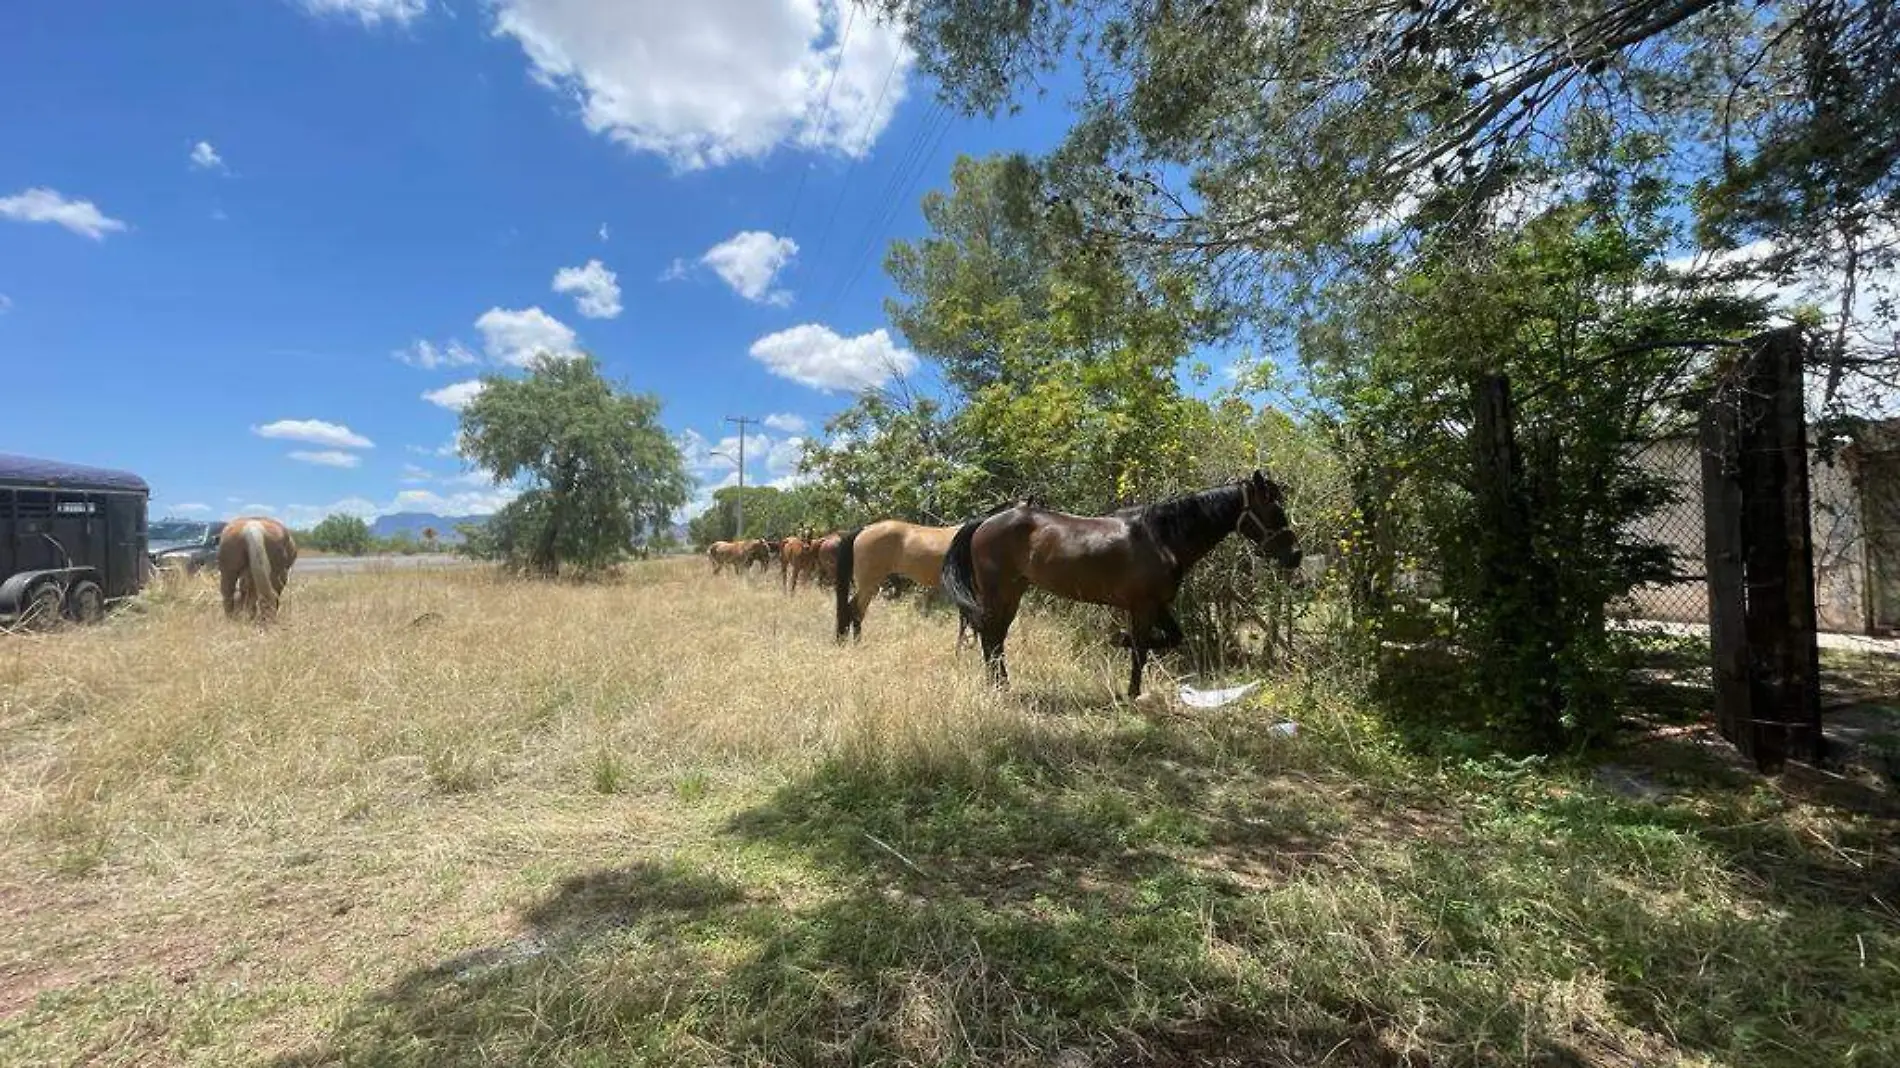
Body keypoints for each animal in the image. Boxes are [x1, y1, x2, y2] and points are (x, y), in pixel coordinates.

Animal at [938, 471, 1299, 699]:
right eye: (1274, 511)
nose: (1295, 555)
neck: (1161, 537)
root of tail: (986, 520)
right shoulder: (1142, 607)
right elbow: (1140, 650)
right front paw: (1132, 691)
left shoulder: (1156, 605)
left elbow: (1170, 639)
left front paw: (1120, 645)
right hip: (999, 593)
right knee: (991, 637)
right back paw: (998, 688)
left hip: (1012, 593)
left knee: (996, 638)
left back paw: (1002, 685)